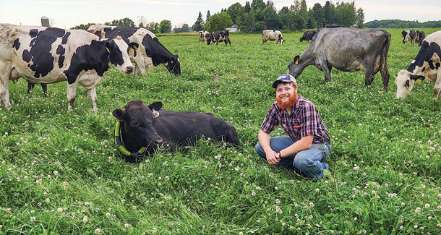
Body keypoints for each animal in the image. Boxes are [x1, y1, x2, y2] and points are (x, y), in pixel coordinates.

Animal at [0, 23, 135, 111]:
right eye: (115, 50)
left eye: (127, 50)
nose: (130, 68)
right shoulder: (72, 74)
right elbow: (71, 98)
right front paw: (70, 114)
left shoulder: (91, 77)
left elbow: (93, 98)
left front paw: (95, 113)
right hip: (4, 69)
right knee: (4, 91)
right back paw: (9, 109)